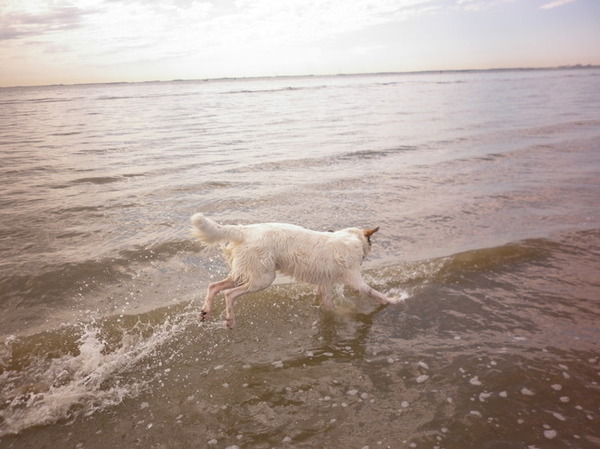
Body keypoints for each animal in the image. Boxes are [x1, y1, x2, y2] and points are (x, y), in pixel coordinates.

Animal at [191, 212, 398, 328]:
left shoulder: (324, 285)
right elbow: (373, 292)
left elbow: (328, 304)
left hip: (247, 272)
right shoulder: (356, 281)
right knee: (229, 294)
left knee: (214, 286)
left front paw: (332, 316)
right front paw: (394, 300)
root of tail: (246, 230)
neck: (351, 239)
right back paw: (230, 319)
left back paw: (206, 312)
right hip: (263, 278)